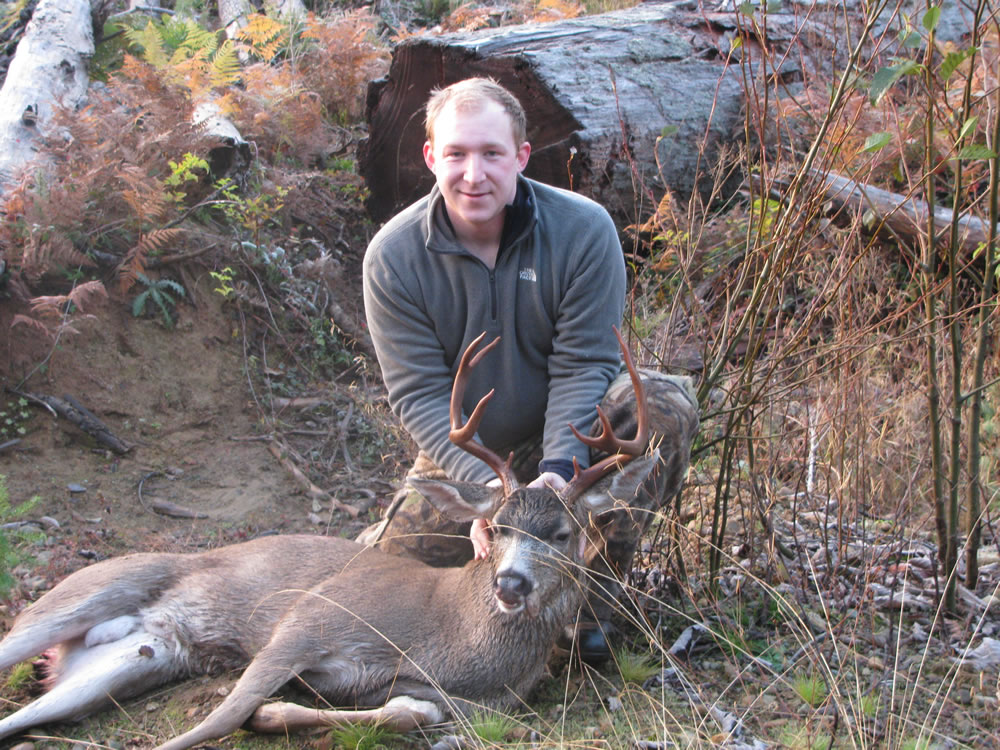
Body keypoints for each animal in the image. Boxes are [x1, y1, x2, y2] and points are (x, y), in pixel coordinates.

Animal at [0, 328, 657, 750]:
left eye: (563, 532)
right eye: (495, 526)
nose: (510, 582)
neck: (447, 637)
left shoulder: (467, 700)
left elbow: (404, 714)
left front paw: (275, 714)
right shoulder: (309, 618)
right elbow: (219, 721)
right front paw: (259, 713)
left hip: (128, 663)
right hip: (83, 592)